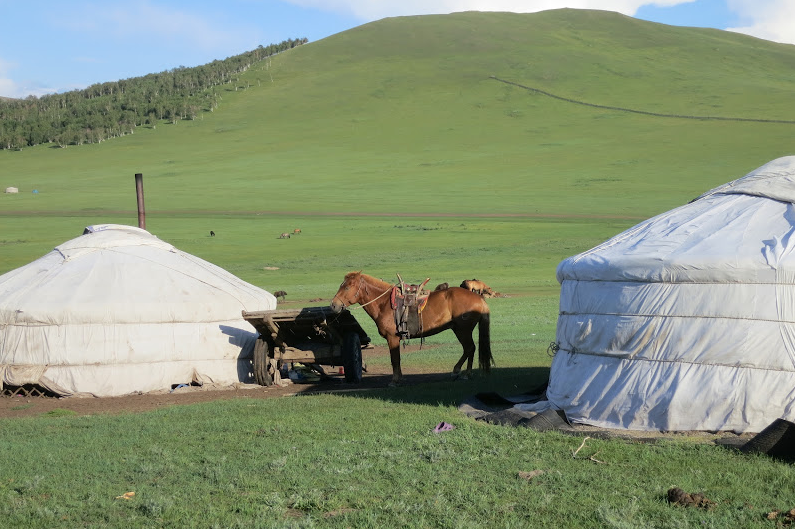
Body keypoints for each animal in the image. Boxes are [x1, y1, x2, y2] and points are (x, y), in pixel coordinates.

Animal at [328, 272, 492, 384]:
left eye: (347, 287)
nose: (334, 305)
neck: (384, 303)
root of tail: (479, 298)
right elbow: (397, 359)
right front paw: (399, 378)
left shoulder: (392, 338)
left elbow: (395, 359)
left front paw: (395, 381)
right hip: (462, 330)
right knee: (470, 349)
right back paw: (465, 373)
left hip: (462, 330)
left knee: (469, 348)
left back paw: (461, 372)